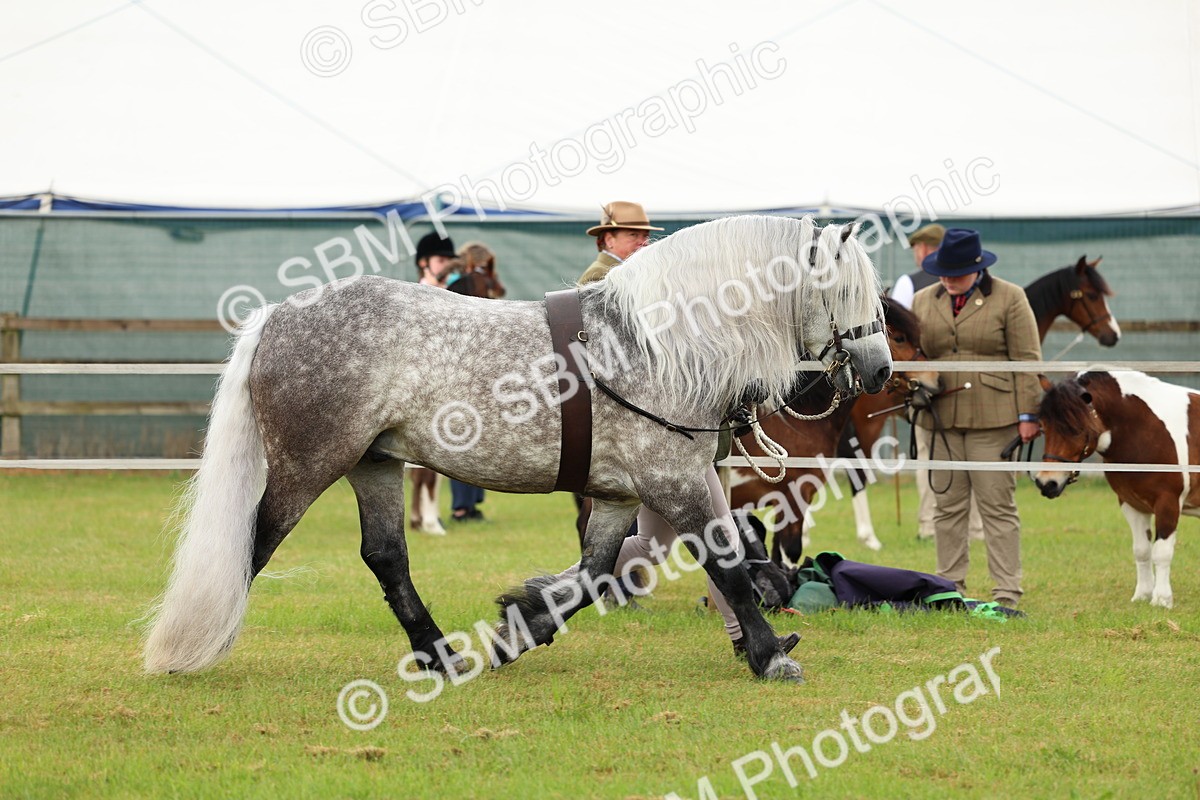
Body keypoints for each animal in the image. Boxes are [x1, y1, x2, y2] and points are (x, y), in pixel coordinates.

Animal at [142, 215, 892, 683]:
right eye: (843, 290)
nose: (880, 369)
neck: (658, 346)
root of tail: (279, 316)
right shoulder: (673, 482)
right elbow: (727, 566)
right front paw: (770, 657)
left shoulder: (618, 494)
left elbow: (593, 575)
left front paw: (518, 626)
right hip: (308, 466)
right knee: (253, 543)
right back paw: (198, 643)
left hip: (374, 465)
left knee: (386, 557)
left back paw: (442, 656)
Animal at [1033, 371, 1199, 608]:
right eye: (1043, 426)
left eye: (1076, 428)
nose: (1047, 483)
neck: (1145, 428)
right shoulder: (1132, 504)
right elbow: (1141, 550)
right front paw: (1142, 595)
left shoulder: (1168, 502)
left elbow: (1162, 552)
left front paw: (1161, 599)